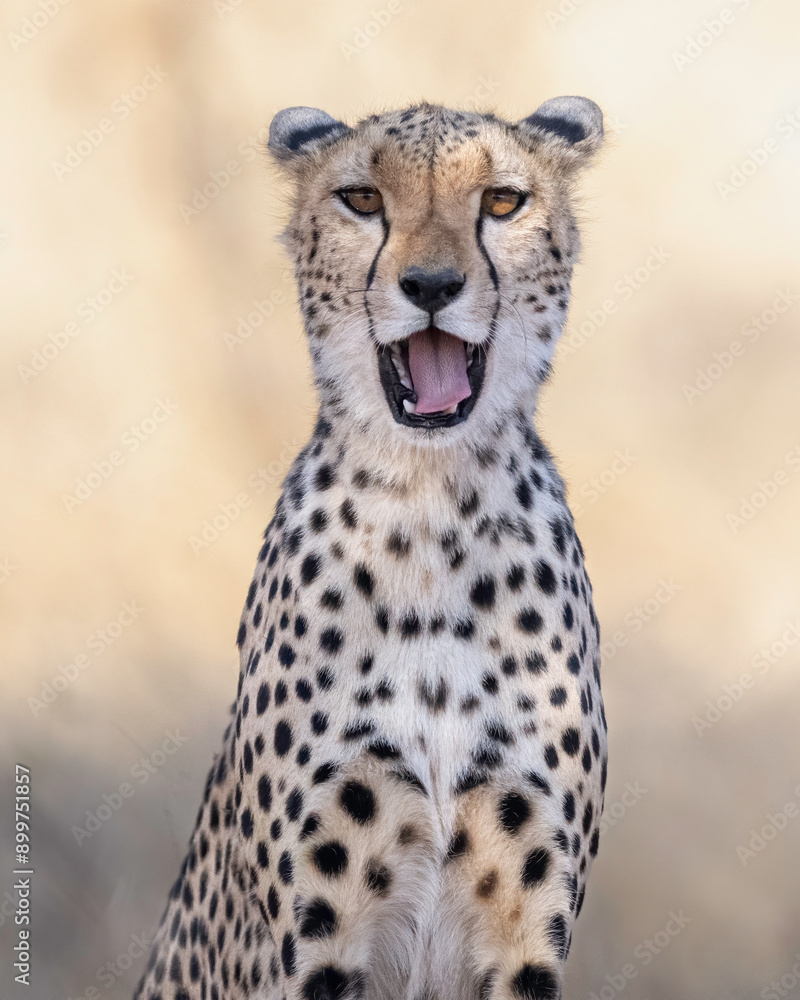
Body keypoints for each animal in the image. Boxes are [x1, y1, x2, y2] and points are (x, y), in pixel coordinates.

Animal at [136, 95, 608, 1000]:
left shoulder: (529, 931)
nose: (430, 286)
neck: (432, 513)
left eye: (502, 202)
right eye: (362, 199)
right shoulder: (320, 938)